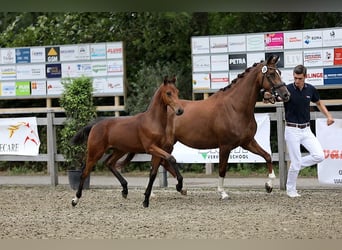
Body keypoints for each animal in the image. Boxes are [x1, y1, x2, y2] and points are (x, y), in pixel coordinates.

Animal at [69, 76, 184, 207]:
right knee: (85, 172)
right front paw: (179, 185)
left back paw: (125, 190)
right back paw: (75, 200)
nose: (180, 110)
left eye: (177, 92)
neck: (153, 121)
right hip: (95, 153)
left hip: (120, 150)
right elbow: (171, 158)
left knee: (109, 163)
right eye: (168, 93)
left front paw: (146, 200)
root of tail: (95, 125)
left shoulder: (157, 151)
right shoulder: (151, 148)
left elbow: (153, 174)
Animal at [113, 54, 290, 205]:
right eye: (271, 74)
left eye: (279, 72)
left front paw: (269, 185)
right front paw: (223, 193)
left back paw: (180, 189)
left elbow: (267, 156)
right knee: (161, 161)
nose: (286, 94)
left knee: (162, 161)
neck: (235, 107)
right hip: (166, 144)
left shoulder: (247, 142)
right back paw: (163, 191)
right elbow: (222, 169)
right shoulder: (225, 146)